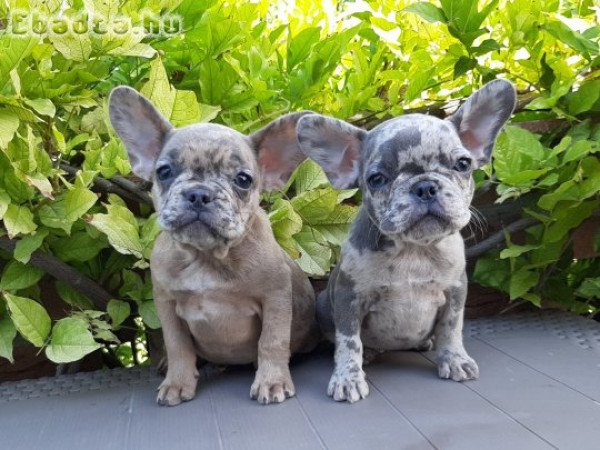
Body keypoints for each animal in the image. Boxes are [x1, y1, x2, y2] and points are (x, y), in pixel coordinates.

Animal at [110, 86, 322, 406]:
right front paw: (177, 381)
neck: (206, 257)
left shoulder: (275, 299)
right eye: (164, 172)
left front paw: (271, 381)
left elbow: (271, 341)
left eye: (243, 180)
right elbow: (177, 345)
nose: (199, 193)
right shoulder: (167, 305)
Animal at [298, 79, 516, 402]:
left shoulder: (455, 293)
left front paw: (454, 359)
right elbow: (349, 341)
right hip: (326, 304)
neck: (414, 250)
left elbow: (451, 329)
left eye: (463, 164)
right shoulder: (350, 298)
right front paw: (348, 378)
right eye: (376, 179)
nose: (425, 186)